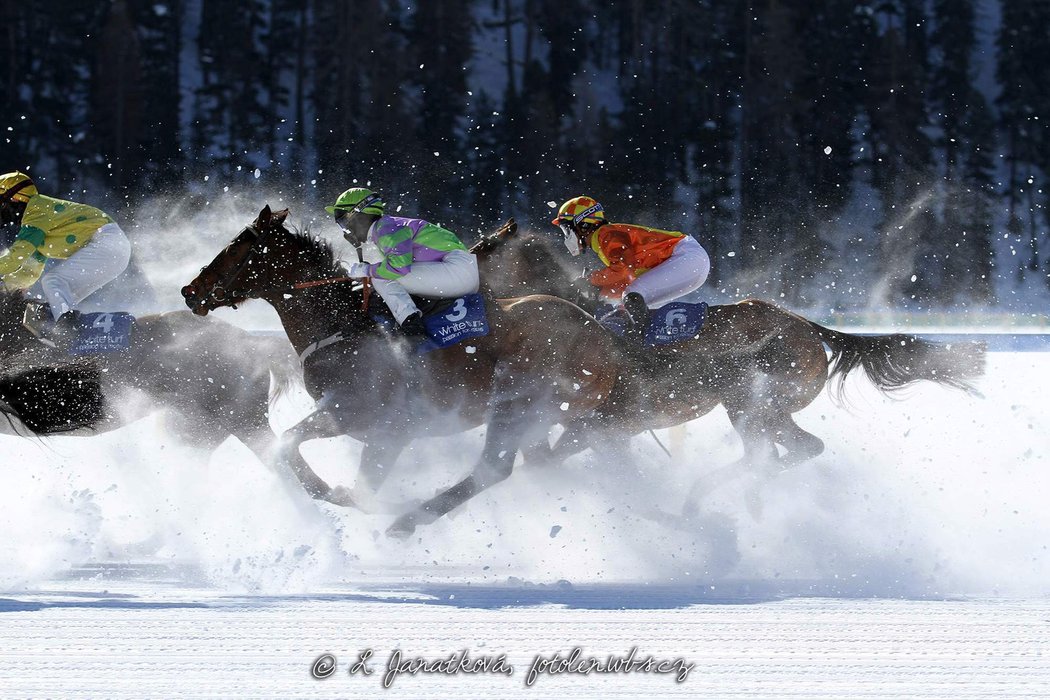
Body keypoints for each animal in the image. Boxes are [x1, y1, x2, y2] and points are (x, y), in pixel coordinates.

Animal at [180, 205, 621, 541]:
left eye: (236, 248)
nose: (190, 291)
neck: (341, 324)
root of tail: (606, 344)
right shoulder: (381, 432)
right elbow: (352, 483)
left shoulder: (362, 415)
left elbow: (290, 446)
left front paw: (336, 490)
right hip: (534, 418)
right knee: (530, 464)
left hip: (518, 402)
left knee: (492, 468)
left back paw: (407, 520)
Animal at [472, 223, 986, 482]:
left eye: (484, 246)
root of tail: (809, 329)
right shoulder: (602, 426)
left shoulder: (604, 423)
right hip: (757, 409)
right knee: (791, 450)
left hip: (757, 404)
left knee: (788, 450)